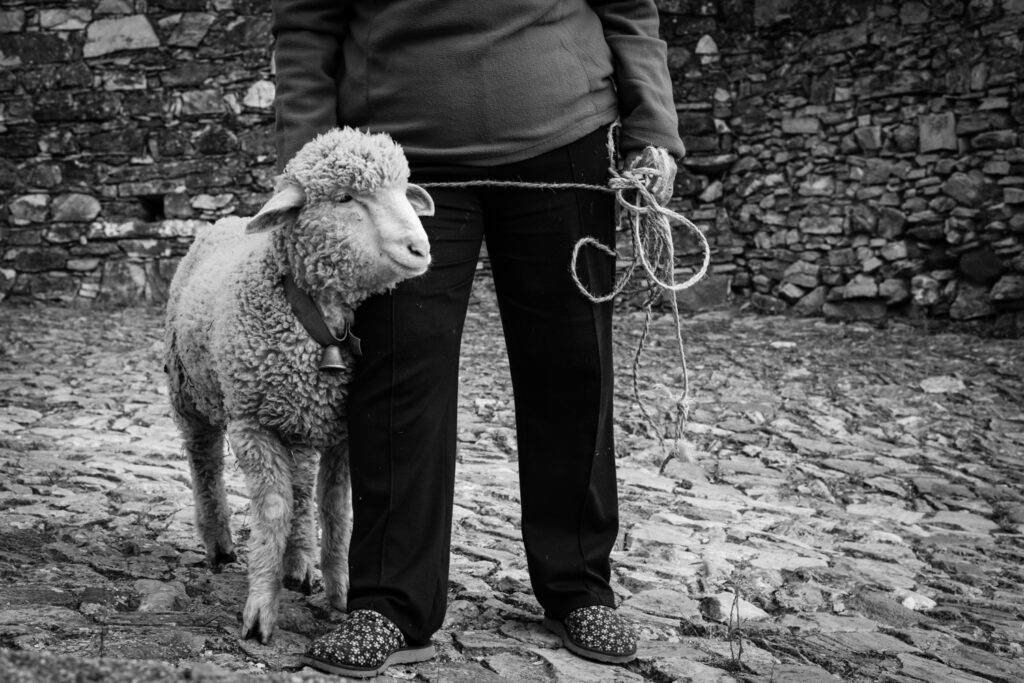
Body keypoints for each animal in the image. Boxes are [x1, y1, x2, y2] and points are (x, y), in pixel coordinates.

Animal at [164, 127, 434, 644]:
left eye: (401, 190)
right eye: (345, 197)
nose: (421, 249)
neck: (316, 324)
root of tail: (226, 220)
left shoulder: (345, 431)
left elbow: (335, 510)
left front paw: (342, 593)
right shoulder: (252, 426)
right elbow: (273, 510)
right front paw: (260, 610)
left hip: (303, 422)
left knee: (302, 487)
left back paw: (299, 562)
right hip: (189, 392)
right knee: (205, 463)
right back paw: (220, 543)